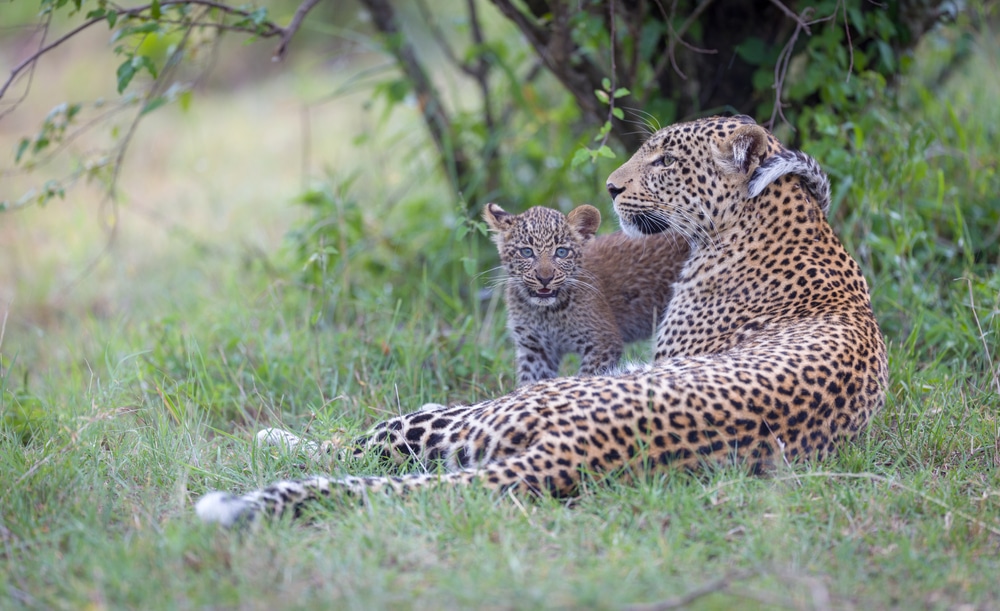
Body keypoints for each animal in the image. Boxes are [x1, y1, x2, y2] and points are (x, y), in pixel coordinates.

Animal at [483, 202, 688, 385]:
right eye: (526, 252)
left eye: (561, 252)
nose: (545, 278)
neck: (546, 313)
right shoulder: (535, 349)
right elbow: (531, 382)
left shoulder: (603, 342)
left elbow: (588, 376)